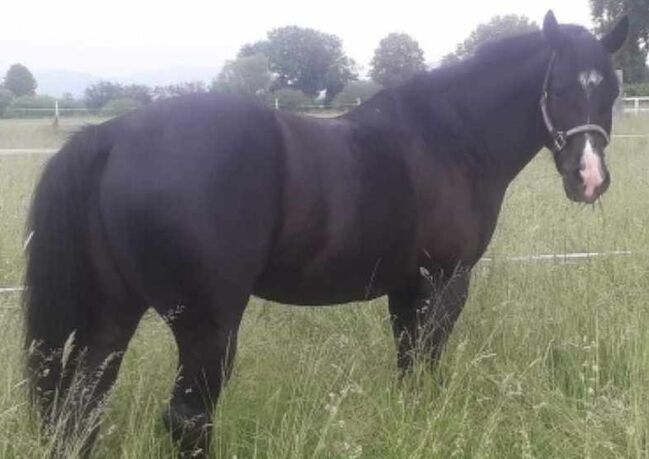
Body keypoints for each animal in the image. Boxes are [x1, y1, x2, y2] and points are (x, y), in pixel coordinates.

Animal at [24, 10, 628, 456]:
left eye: (611, 90)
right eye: (558, 88)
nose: (590, 178)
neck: (449, 138)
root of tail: (114, 135)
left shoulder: (406, 288)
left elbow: (408, 367)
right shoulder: (444, 281)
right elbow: (427, 365)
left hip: (112, 314)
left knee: (80, 408)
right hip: (205, 325)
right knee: (187, 418)